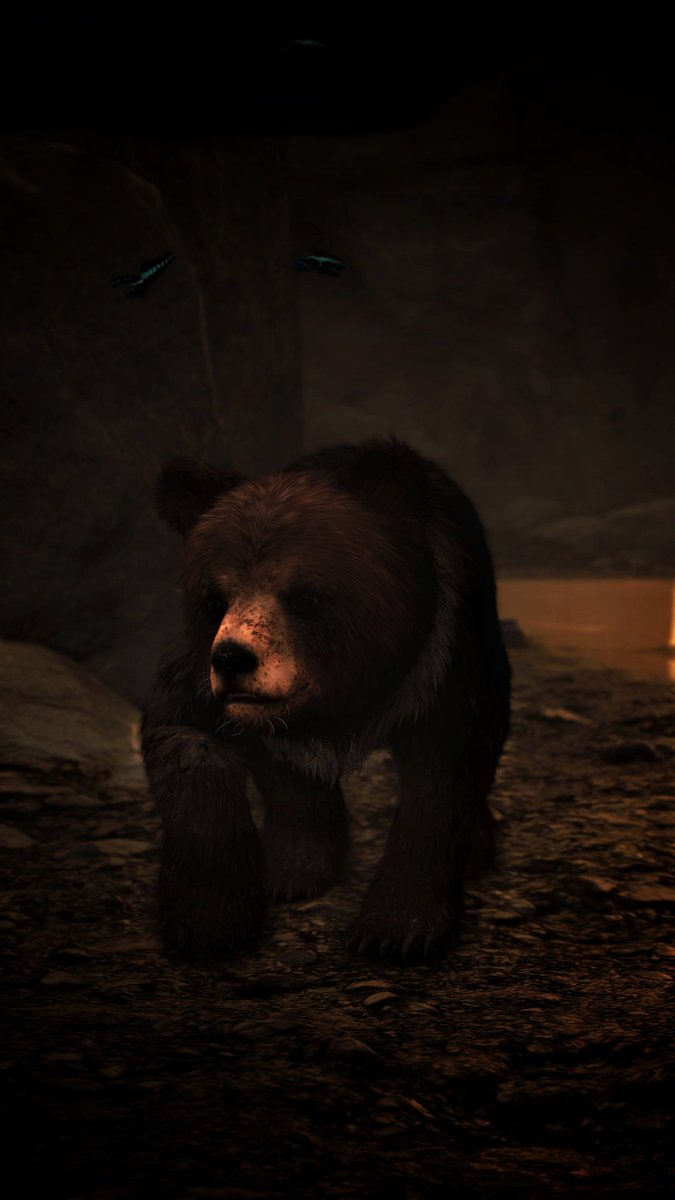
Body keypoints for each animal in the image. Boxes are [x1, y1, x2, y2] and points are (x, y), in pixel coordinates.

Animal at [140, 435, 511, 963]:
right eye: (215, 600)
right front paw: (213, 916)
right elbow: (185, 741)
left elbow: (446, 773)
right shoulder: (198, 678)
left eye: (304, 596)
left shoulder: (444, 659)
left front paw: (396, 928)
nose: (232, 660)